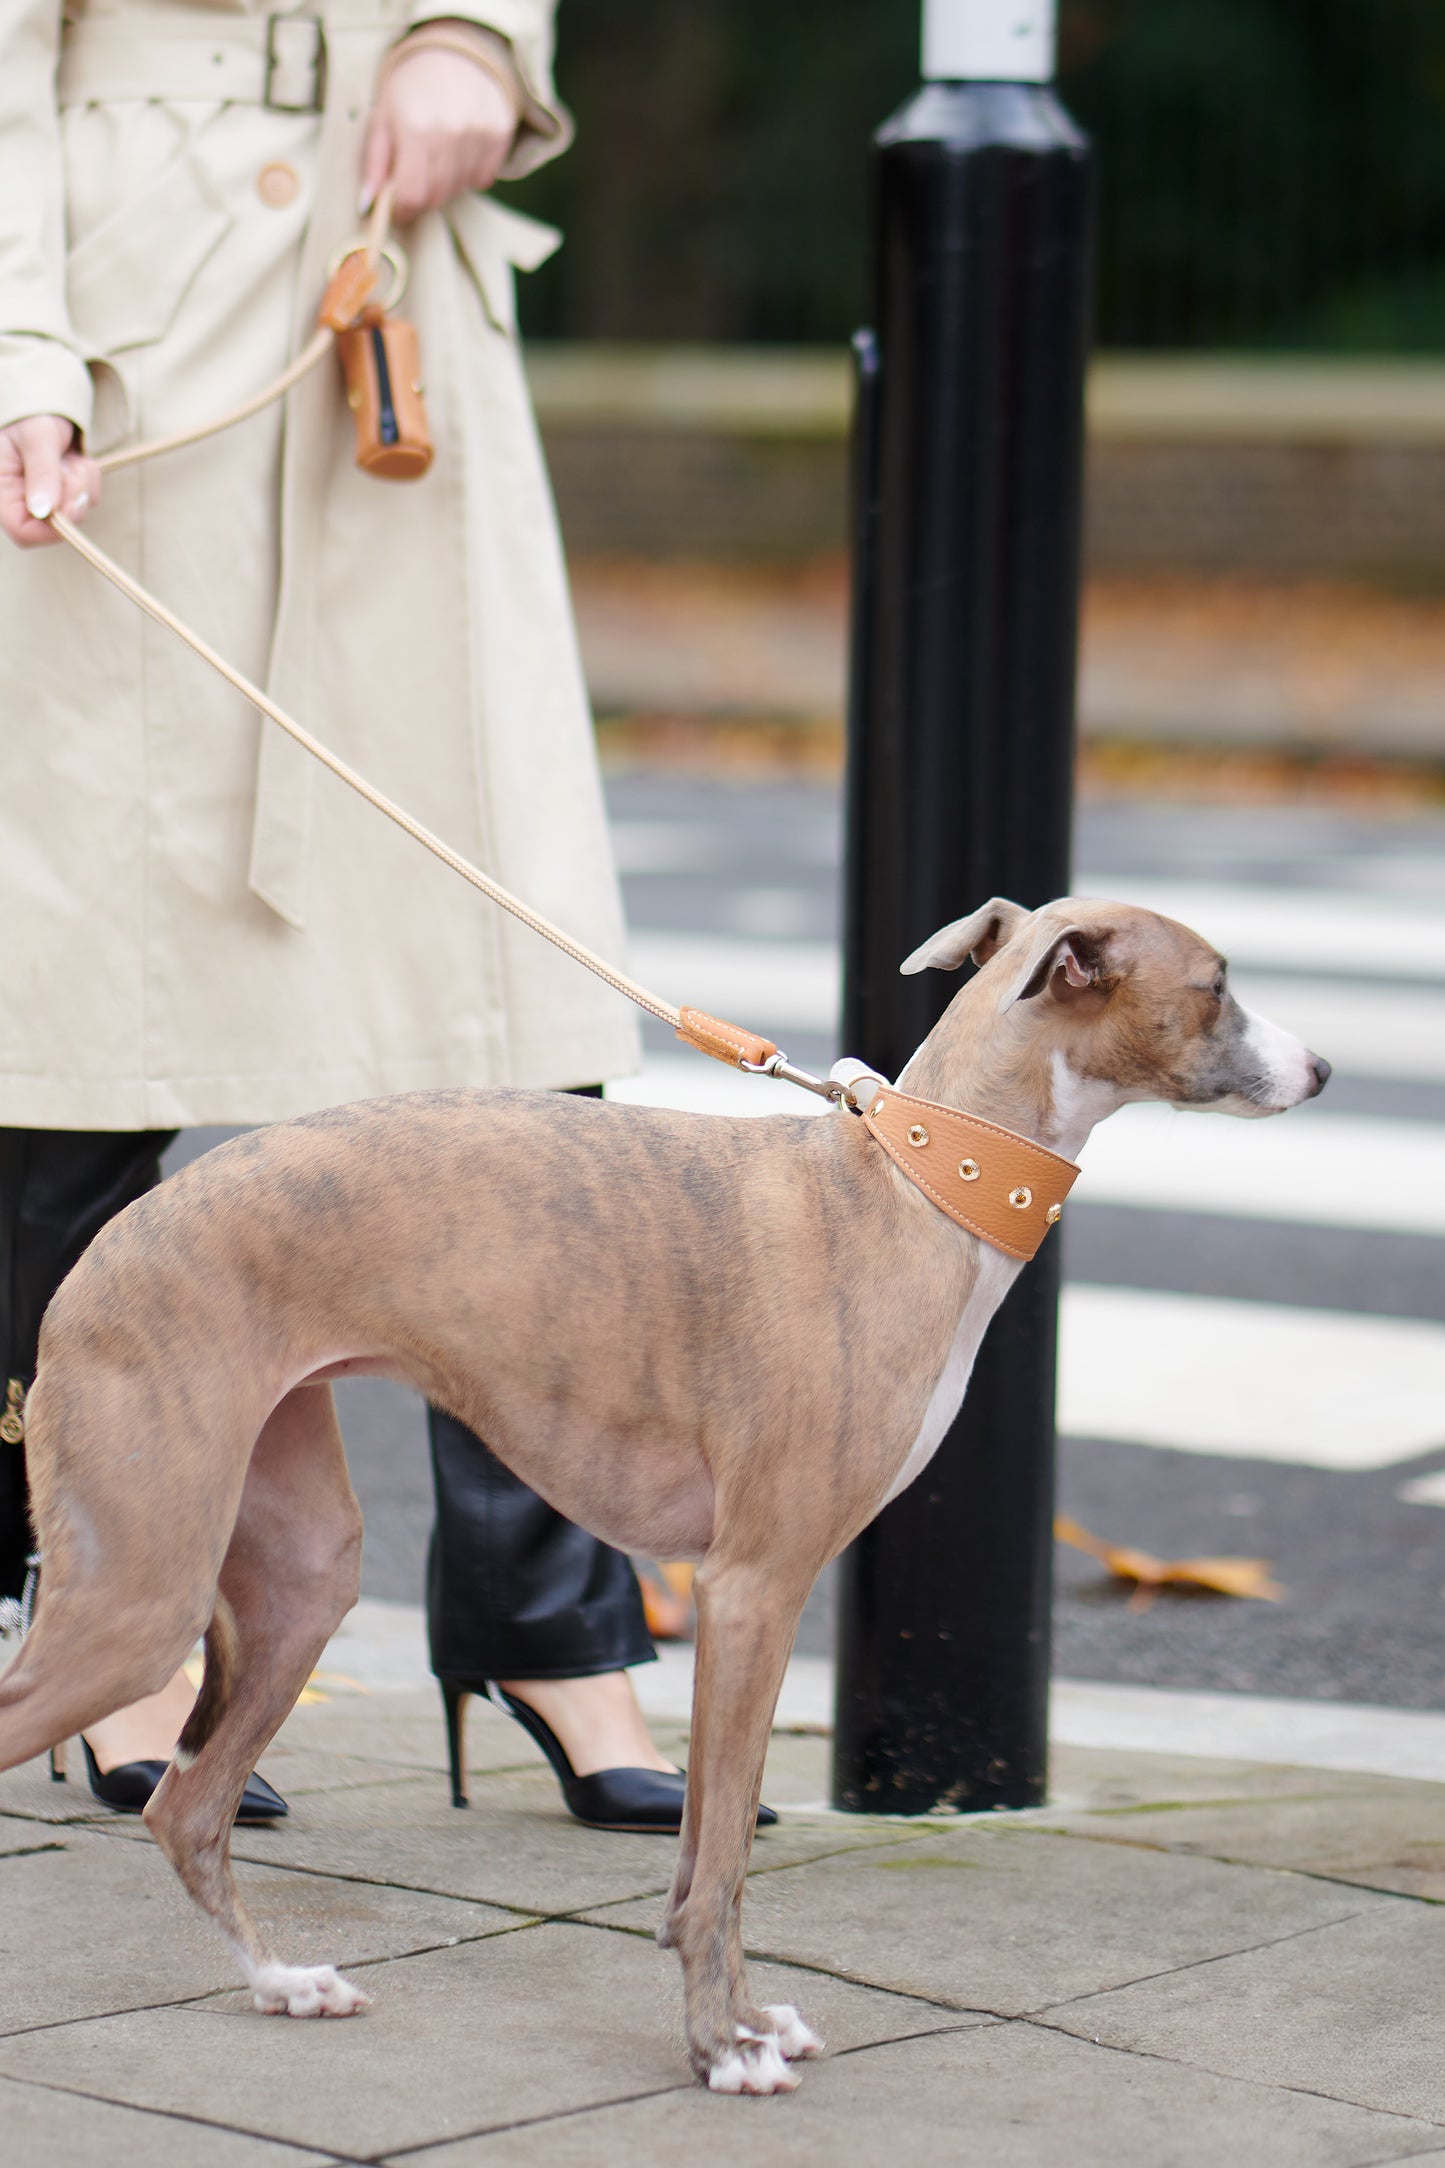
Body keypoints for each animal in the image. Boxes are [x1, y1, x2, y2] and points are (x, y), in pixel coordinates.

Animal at [0, 893, 1334, 2081]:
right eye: (1215, 983)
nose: (1321, 1066)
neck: (913, 1182)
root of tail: (90, 1262)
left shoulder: (742, 1602)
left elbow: (707, 1846)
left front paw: (745, 2023)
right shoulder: (752, 1587)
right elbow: (723, 1860)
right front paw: (717, 2050)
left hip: (296, 1571)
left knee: (186, 1805)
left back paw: (281, 1980)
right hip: (140, 1593)